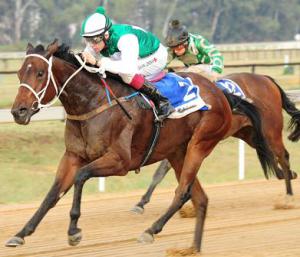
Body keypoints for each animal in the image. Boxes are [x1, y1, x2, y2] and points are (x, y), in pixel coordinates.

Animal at [6, 40, 274, 252]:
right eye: (19, 73)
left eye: (40, 73)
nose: (18, 111)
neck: (92, 102)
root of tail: (220, 91)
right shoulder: (72, 156)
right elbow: (52, 195)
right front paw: (20, 234)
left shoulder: (119, 161)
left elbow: (81, 177)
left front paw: (74, 231)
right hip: (178, 152)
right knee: (200, 198)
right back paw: (192, 248)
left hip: (200, 144)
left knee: (183, 192)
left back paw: (150, 230)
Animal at [134, 72, 300, 212]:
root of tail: (266, 78)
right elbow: (164, 172)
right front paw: (141, 202)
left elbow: (165, 170)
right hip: (250, 134)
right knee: (270, 155)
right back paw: (288, 175)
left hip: (271, 130)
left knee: (283, 156)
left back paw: (288, 197)